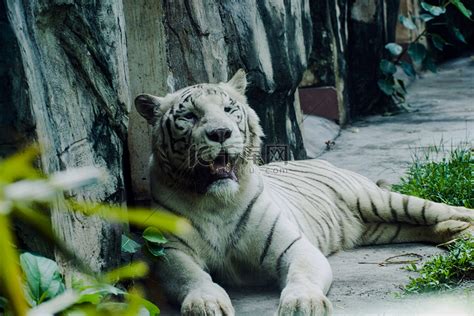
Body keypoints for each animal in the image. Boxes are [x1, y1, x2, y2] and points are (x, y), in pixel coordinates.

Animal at [134, 69, 474, 316]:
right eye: (189, 116)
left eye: (230, 110)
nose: (221, 133)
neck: (216, 200)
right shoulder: (171, 252)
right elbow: (191, 277)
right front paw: (205, 304)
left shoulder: (294, 247)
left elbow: (303, 275)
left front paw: (303, 304)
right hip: (380, 229)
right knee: (422, 225)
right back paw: (454, 233)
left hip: (379, 201)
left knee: (442, 209)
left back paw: (463, 228)